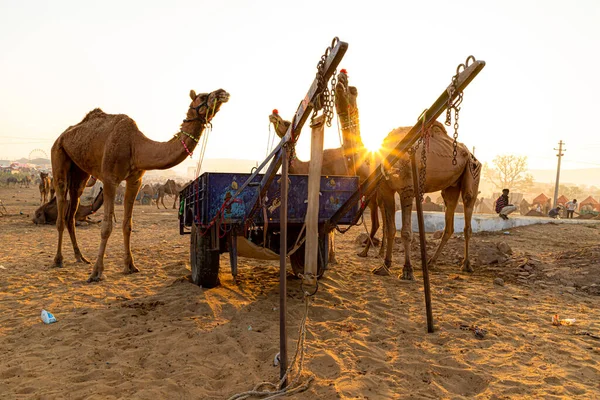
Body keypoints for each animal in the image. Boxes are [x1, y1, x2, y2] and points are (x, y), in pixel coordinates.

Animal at [50, 87, 229, 282]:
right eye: (203, 96)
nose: (223, 92)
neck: (134, 145)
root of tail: (62, 136)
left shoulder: (135, 180)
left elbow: (128, 225)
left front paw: (130, 266)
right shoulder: (109, 179)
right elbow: (106, 227)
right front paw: (96, 272)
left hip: (80, 173)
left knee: (72, 210)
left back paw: (80, 257)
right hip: (58, 154)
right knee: (61, 208)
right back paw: (58, 260)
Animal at [336, 70, 480, 280]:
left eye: (353, 89)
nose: (340, 78)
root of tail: (469, 153)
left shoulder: (407, 188)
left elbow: (405, 232)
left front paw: (407, 270)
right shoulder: (386, 189)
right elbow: (390, 229)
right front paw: (384, 266)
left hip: (472, 173)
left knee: (468, 214)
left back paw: (467, 265)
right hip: (450, 187)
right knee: (449, 221)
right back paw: (431, 262)